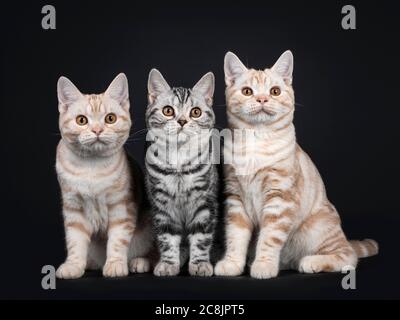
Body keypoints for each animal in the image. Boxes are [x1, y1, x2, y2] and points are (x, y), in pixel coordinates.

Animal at [54, 74, 152, 278]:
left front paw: (115, 264)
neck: (92, 167)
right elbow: (75, 241)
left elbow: (118, 240)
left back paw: (140, 262)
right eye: (81, 120)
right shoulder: (73, 209)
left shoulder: (121, 206)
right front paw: (73, 265)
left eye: (110, 118)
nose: (97, 130)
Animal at [145, 69, 217, 276]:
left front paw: (200, 263)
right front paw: (168, 263)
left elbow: (201, 237)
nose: (183, 121)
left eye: (196, 112)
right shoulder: (162, 205)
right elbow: (167, 237)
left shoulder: (204, 203)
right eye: (168, 111)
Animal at [216, 51, 378, 278]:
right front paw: (232, 263)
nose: (262, 98)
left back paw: (312, 261)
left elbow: (269, 238)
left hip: (318, 228)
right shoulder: (235, 198)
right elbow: (235, 236)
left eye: (274, 91)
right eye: (247, 91)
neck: (256, 142)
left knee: (347, 256)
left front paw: (264, 264)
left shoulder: (280, 199)